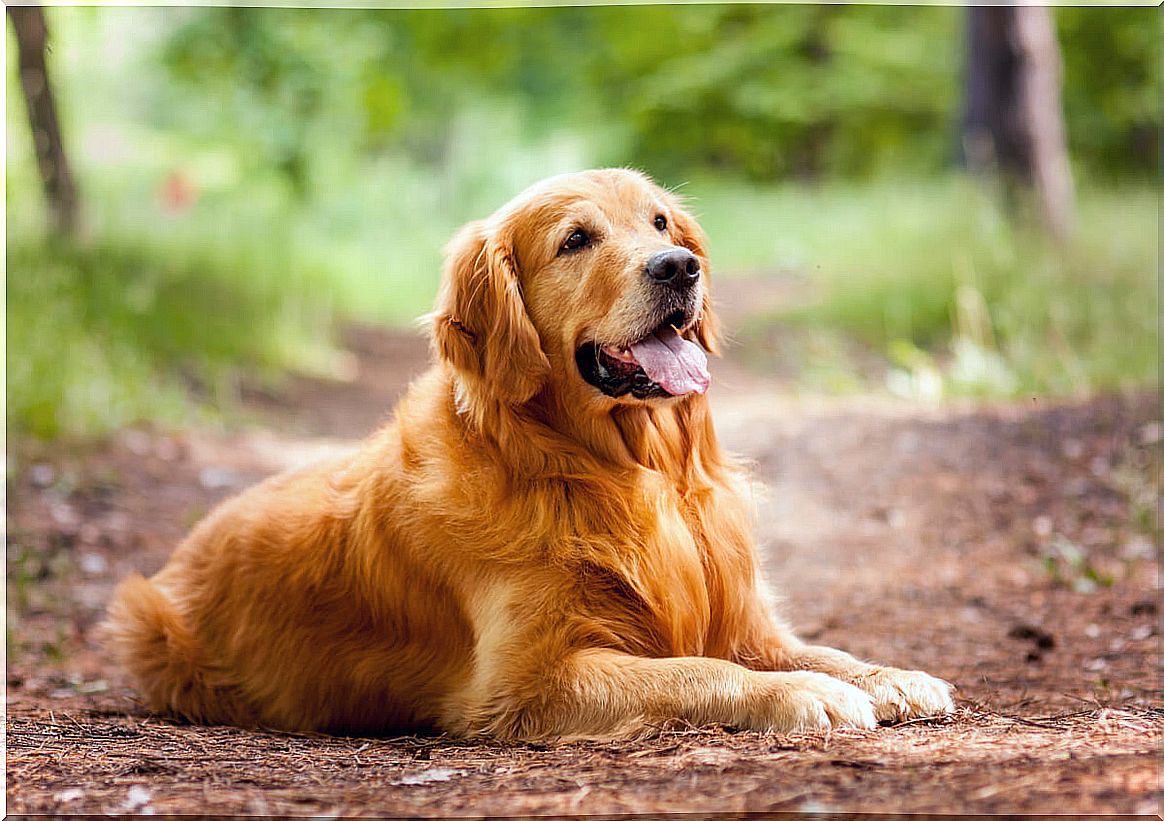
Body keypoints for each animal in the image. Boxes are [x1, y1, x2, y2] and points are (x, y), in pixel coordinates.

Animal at [104, 170, 949, 740]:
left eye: (662, 224)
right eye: (576, 240)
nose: (679, 267)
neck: (623, 472)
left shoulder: (743, 614)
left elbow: (816, 647)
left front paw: (891, 676)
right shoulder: (526, 679)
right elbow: (700, 669)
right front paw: (804, 694)